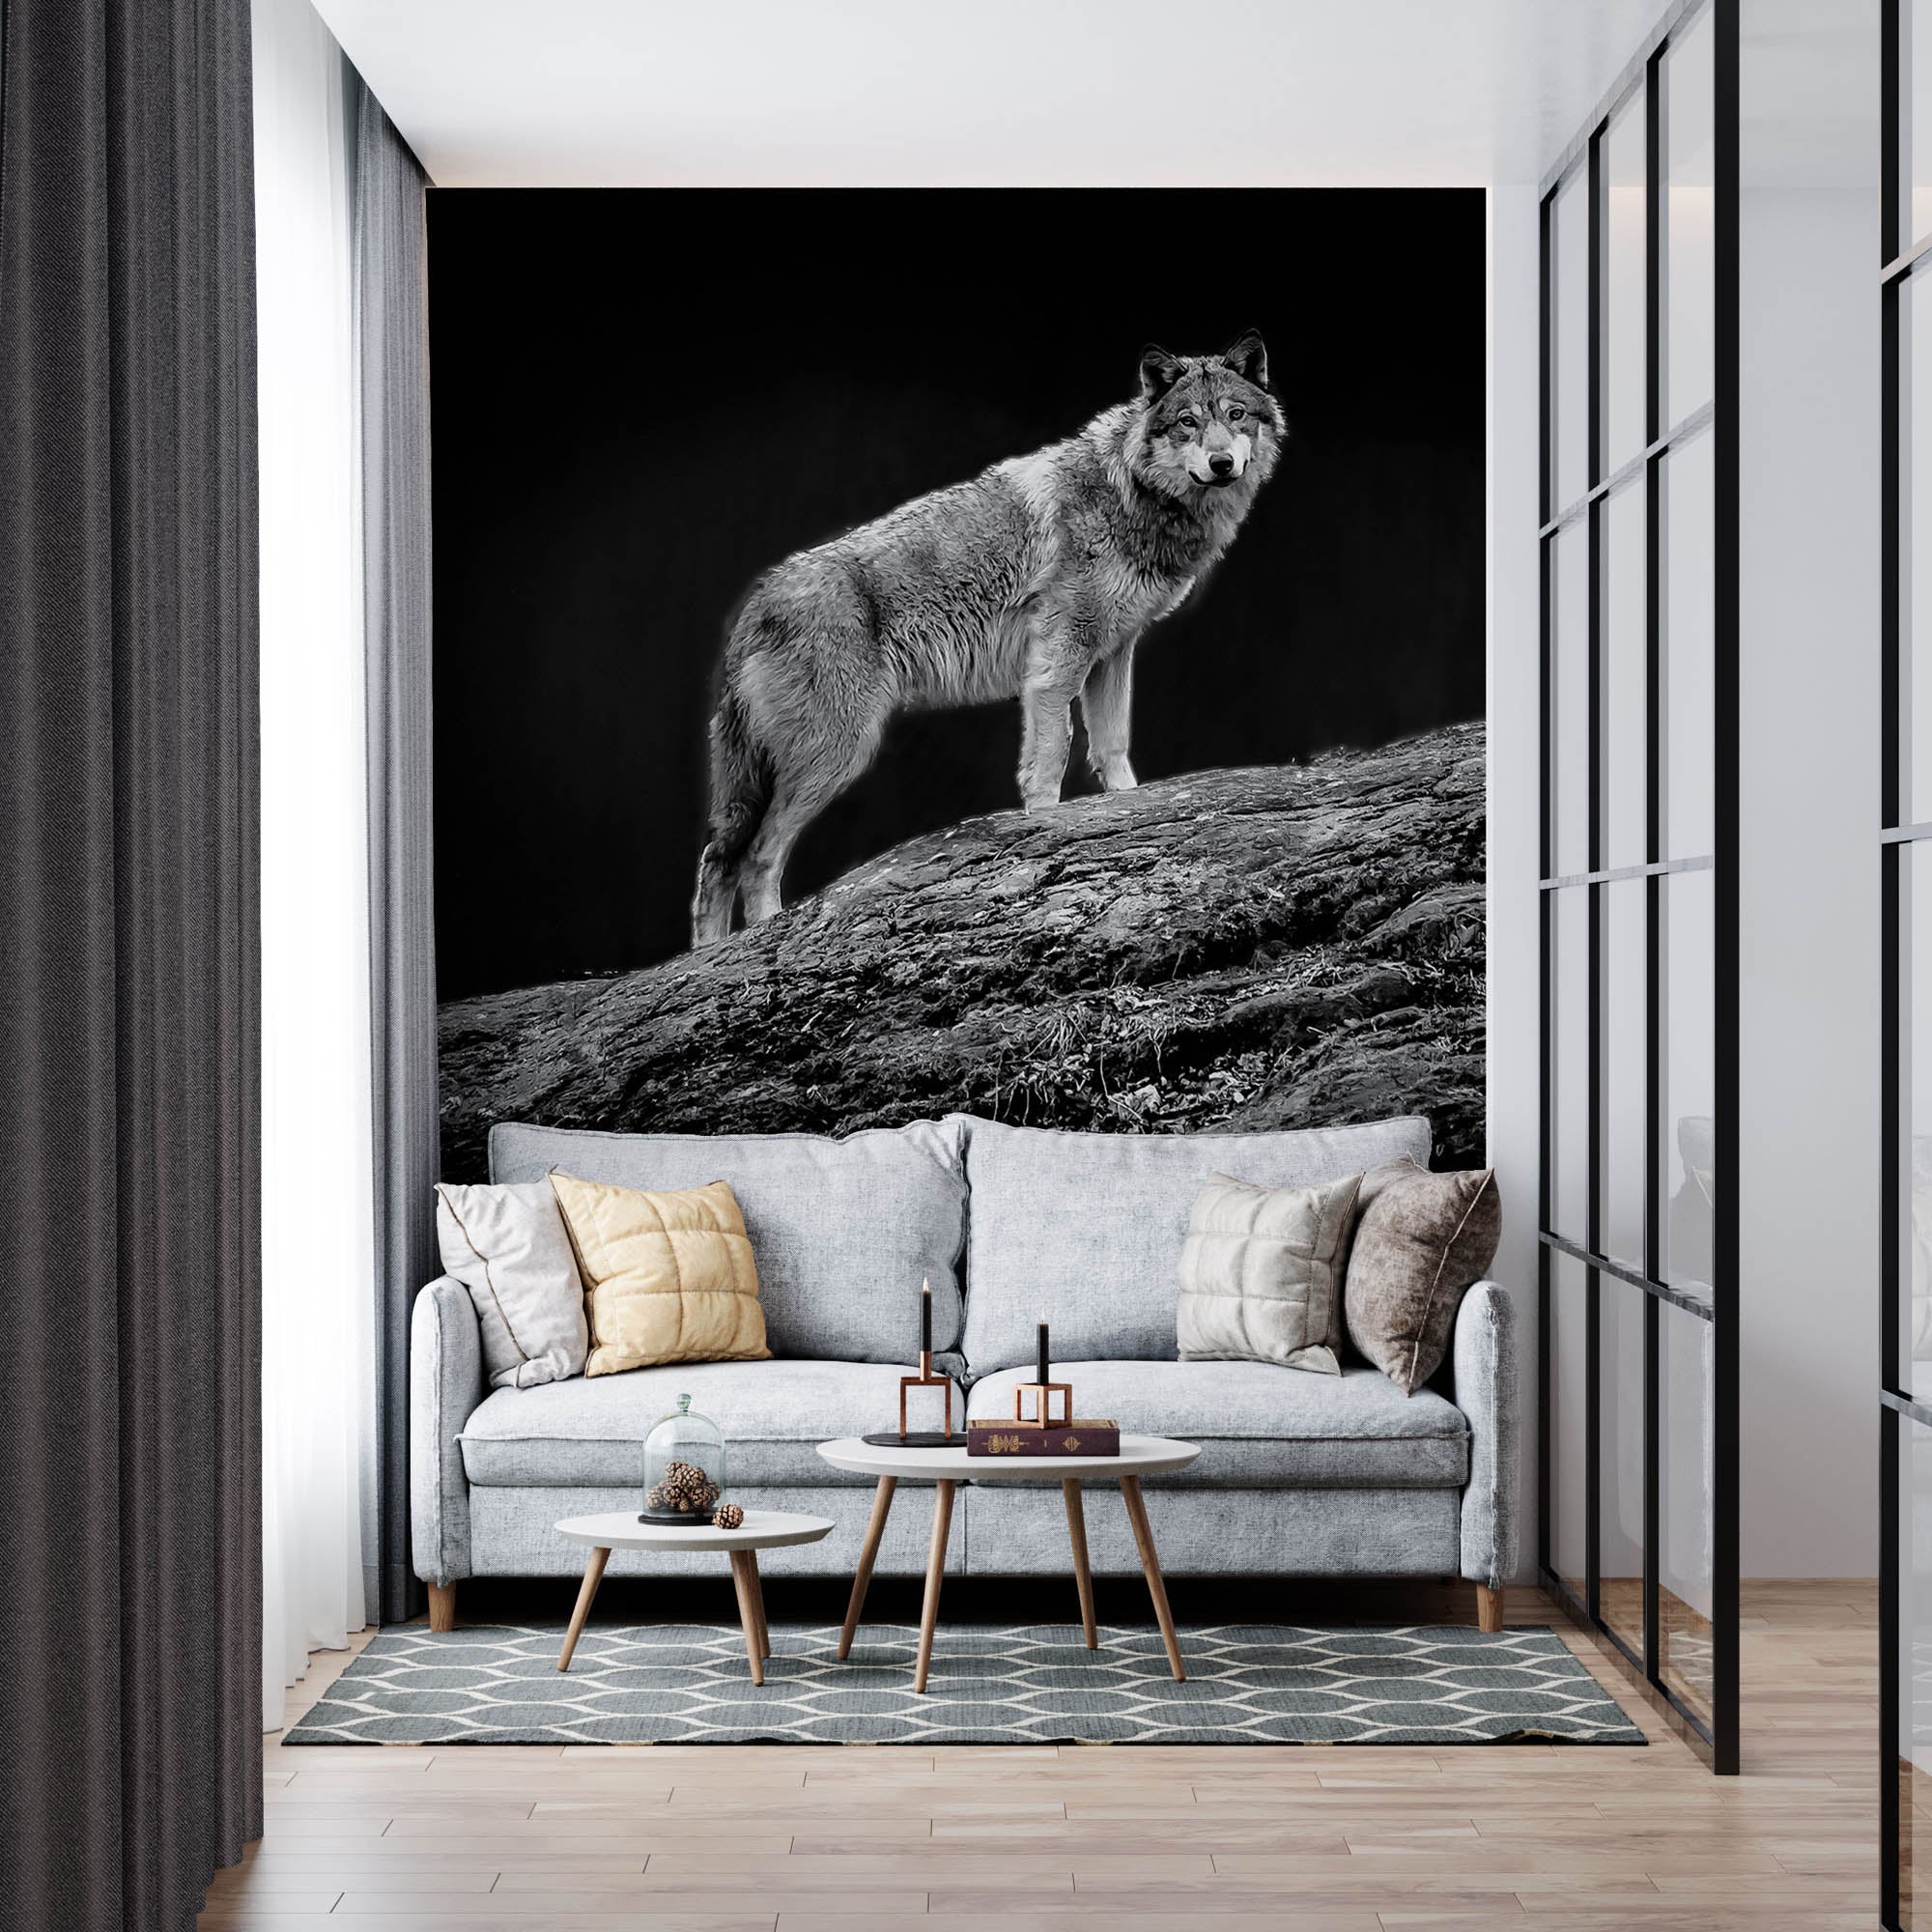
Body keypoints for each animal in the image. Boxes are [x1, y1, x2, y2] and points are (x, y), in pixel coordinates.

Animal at [691, 329, 1285, 945]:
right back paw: (758, 938)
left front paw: (1125, 806)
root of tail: (755, 603)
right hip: (838, 753)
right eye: (1188, 422)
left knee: (717, 859)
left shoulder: (1114, 653)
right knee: (755, 855)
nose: (1221, 462)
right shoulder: (1058, 662)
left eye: (1236, 415)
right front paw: (1046, 823)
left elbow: (1114, 746)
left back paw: (709, 956)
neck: (1132, 493)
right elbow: (1052, 753)